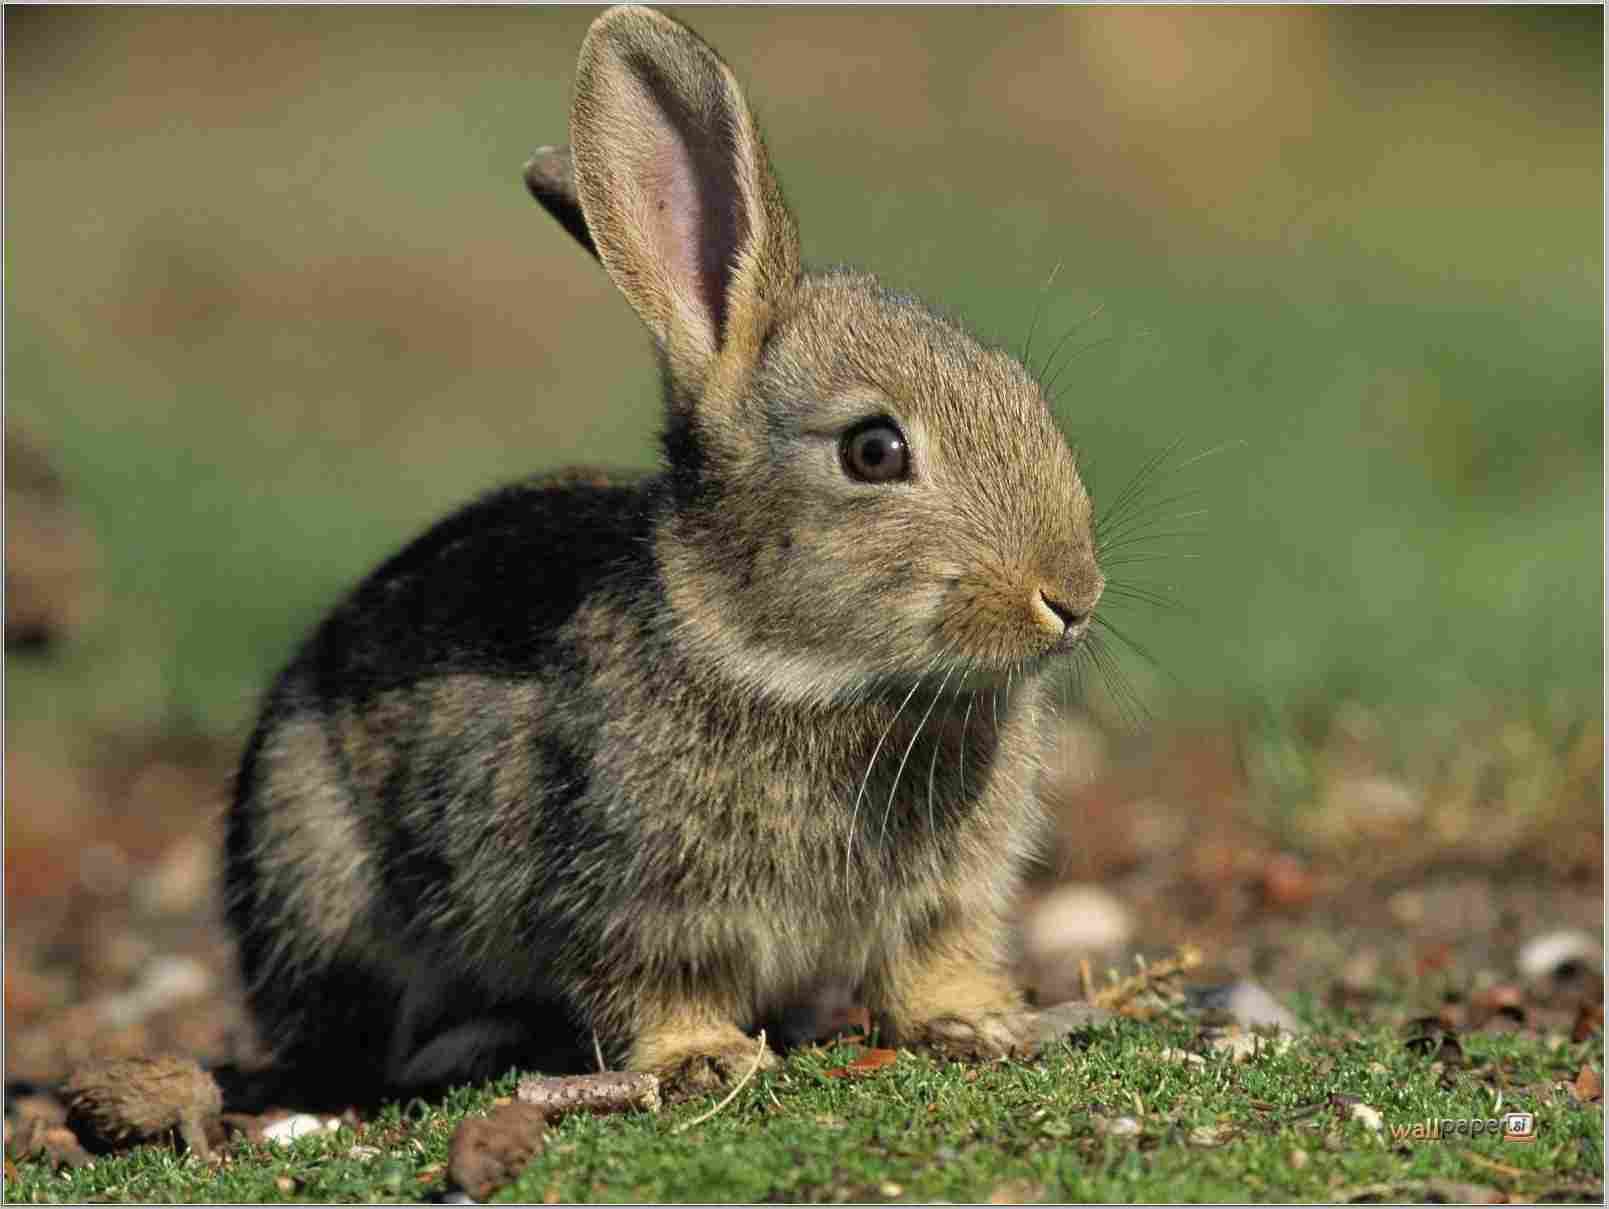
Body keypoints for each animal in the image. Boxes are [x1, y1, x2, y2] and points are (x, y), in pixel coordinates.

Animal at [224, 4, 1105, 1104]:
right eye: (872, 450)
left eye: (1021, 391)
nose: (1070, 596)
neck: (801, 671)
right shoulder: (626, 898)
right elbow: (653, 987)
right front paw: (704, 1058)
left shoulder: (944, 897)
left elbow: (930, 958)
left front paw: (982, 1021)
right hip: (318, 871)